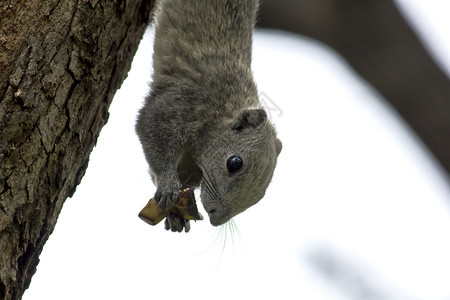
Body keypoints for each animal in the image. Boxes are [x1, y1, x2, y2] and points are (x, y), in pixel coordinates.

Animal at [135, 0, 282, 232]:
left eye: (261, 195)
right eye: (234, 163)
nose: (216, 219)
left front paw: (176, 214)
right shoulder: (181, 103)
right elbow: (150, 128)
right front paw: (167, 186)